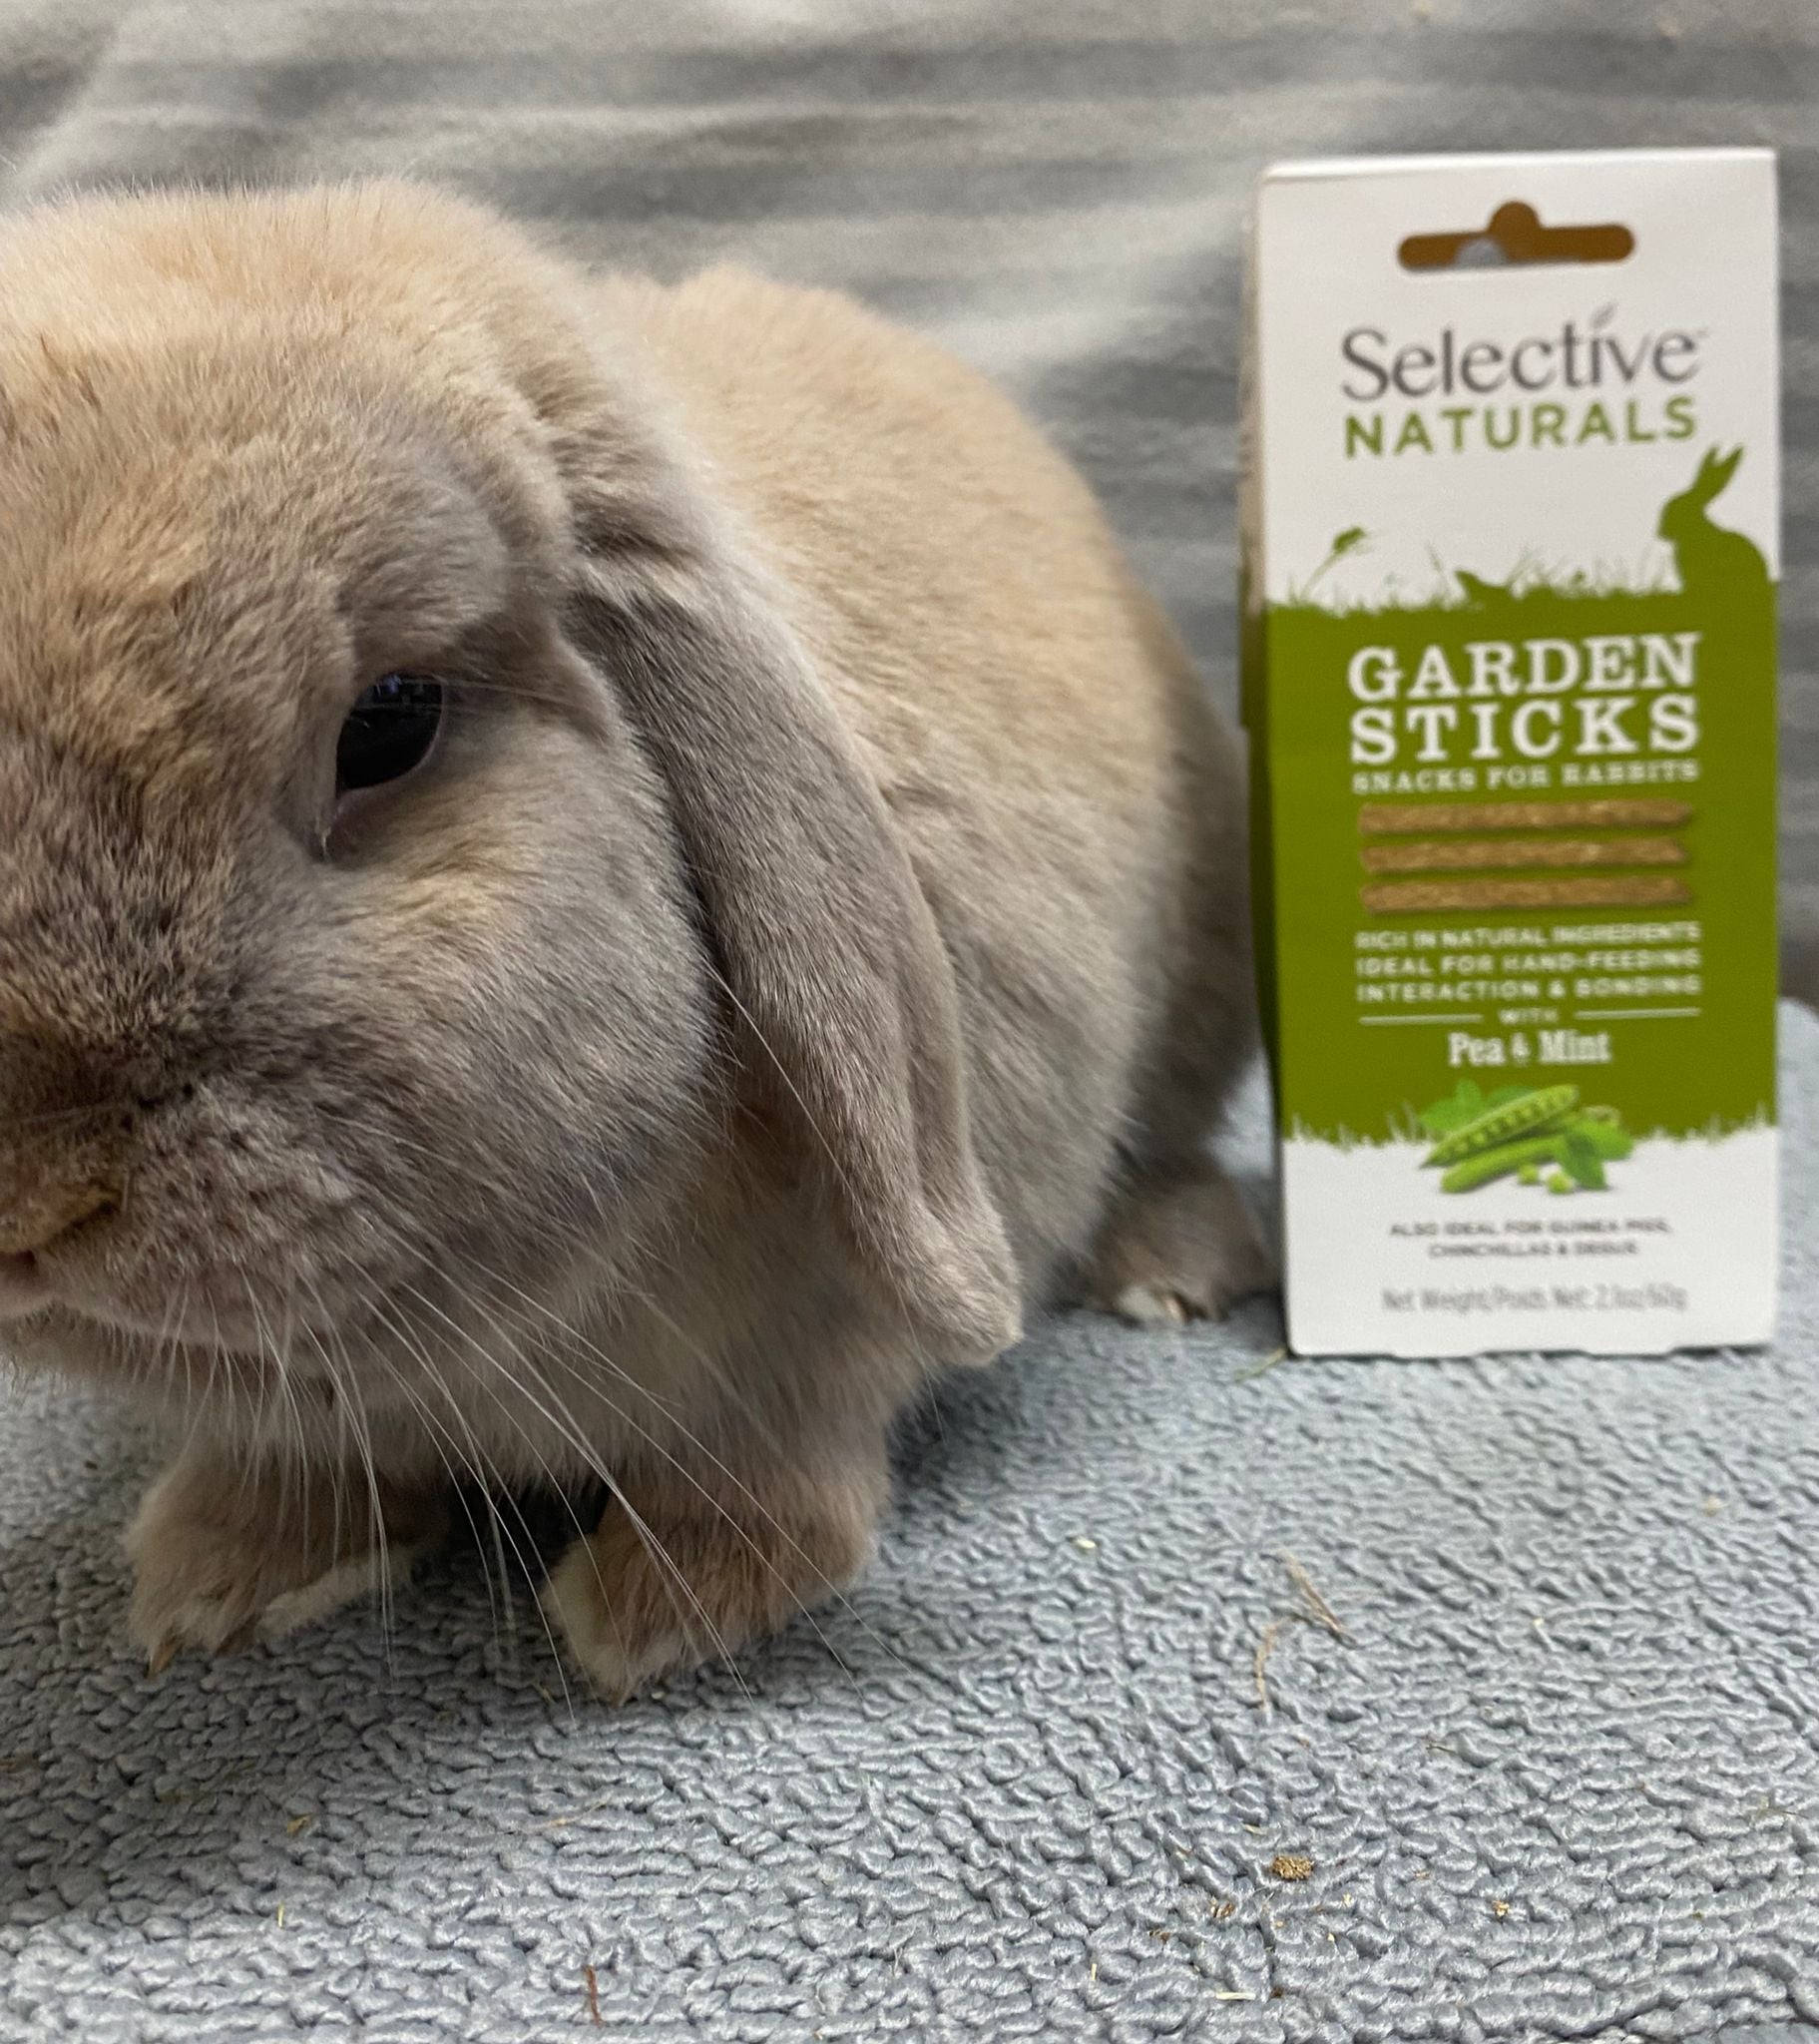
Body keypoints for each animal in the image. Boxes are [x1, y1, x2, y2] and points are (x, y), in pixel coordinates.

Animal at [0, 182, 1267, 1697]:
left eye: (390, 724)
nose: (31, 1197)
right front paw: (218, 1577)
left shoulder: (822, 1352)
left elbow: (778, 1461)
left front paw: (661, 1610)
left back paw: (1169, 1274)